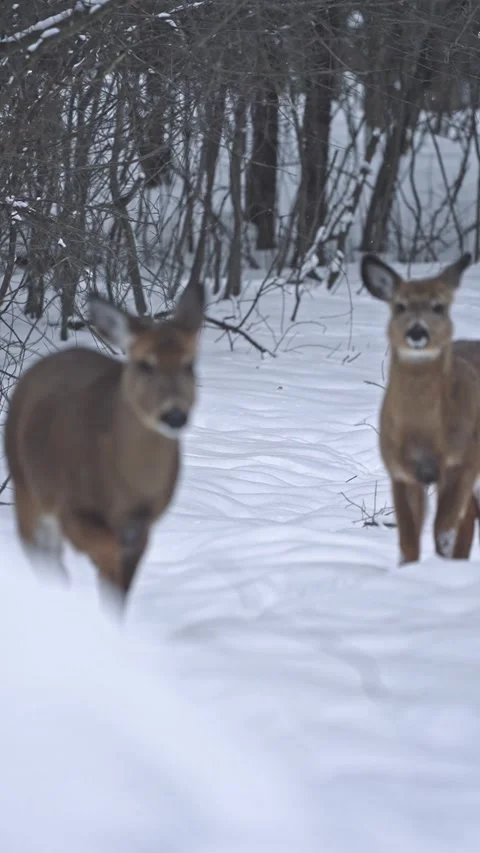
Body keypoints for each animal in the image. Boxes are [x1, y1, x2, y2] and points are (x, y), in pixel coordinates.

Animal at [4, 282, 204, 602]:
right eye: (145, 364)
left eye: (190, 364)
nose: (174, 415)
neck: (125, 487)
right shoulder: (72, 506)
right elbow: (109, 555)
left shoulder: (144, 523)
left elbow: (119, 587)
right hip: (26, 484)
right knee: (38, 551)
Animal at [360, 252, 480, 565]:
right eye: (399, 306)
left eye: (439, 306)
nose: (416, 331)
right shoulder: (400, 471)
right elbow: (408, 541)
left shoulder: (462, 460)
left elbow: (443, 530)